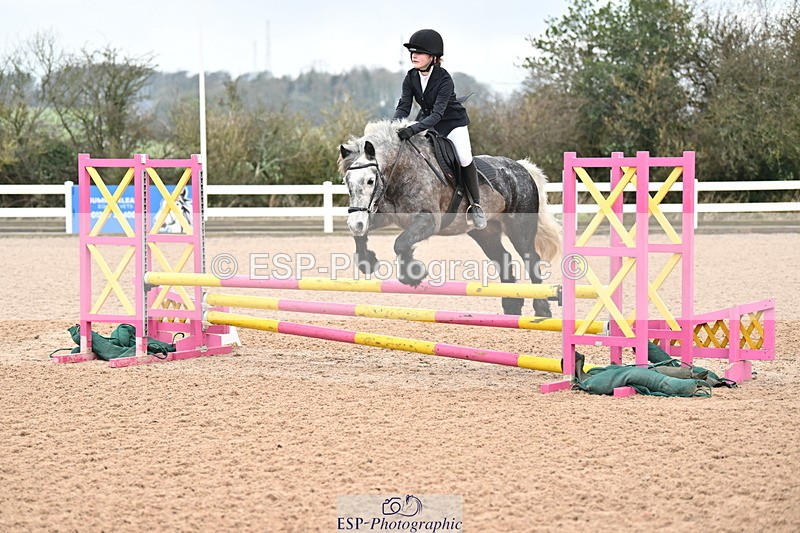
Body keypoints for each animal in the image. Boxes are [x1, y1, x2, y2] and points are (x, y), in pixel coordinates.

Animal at [338, 119, 561, 317]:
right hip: (485, 233)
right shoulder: (383, 216)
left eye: (370, 180)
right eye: (347, 181)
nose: (356, 222)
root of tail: (522, 168)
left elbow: (400, 243)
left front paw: (413, 275)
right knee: (503, 258)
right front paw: (367, 261)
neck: (401, 171)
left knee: (531, 259)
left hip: (520, 229)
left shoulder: (429, 221)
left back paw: (542, 309)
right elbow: (361, 235)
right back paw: (512, 307)